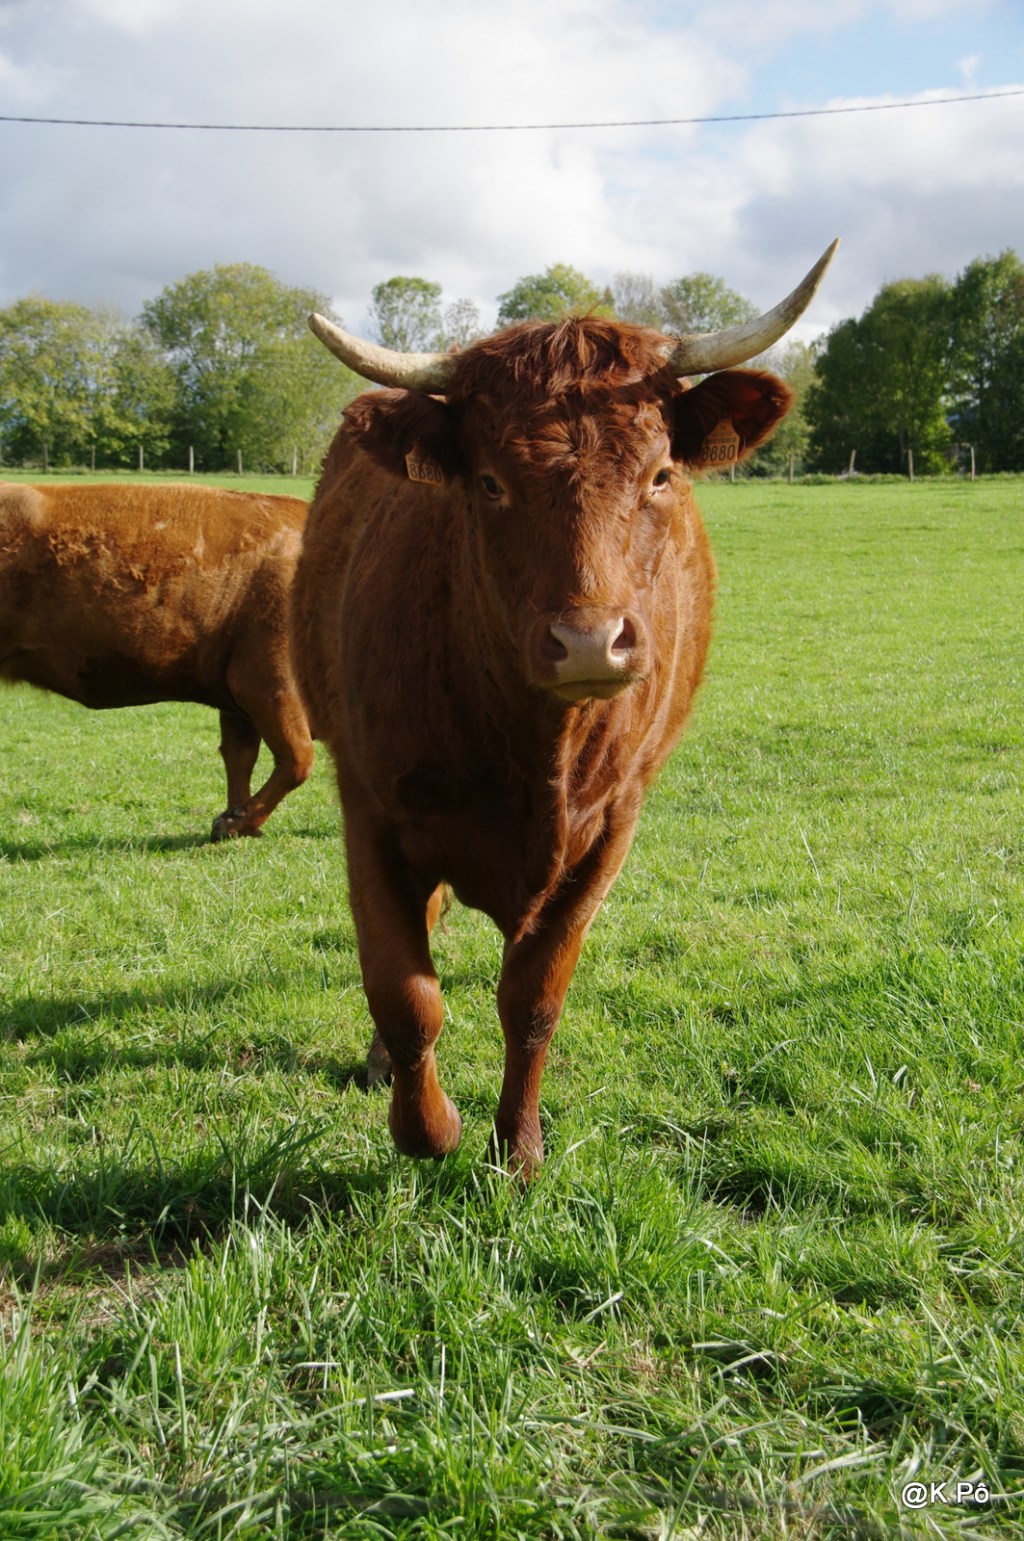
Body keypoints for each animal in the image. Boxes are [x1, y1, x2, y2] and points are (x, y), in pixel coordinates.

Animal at [0, 481, 314, 840]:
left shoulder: (238, 694)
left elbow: (240, 757)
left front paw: (236, 821)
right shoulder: (269, 682)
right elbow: (297, 759)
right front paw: (237, 821)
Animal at [291, 241, 838, 1173]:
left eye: (660, 474)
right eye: (489, 482)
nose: (589, 642)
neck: (533, 750)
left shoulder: (611, 828)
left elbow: (535, 994)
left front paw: (518, 1149)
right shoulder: (368, 806)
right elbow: (405, 992)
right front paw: (431, 1128)